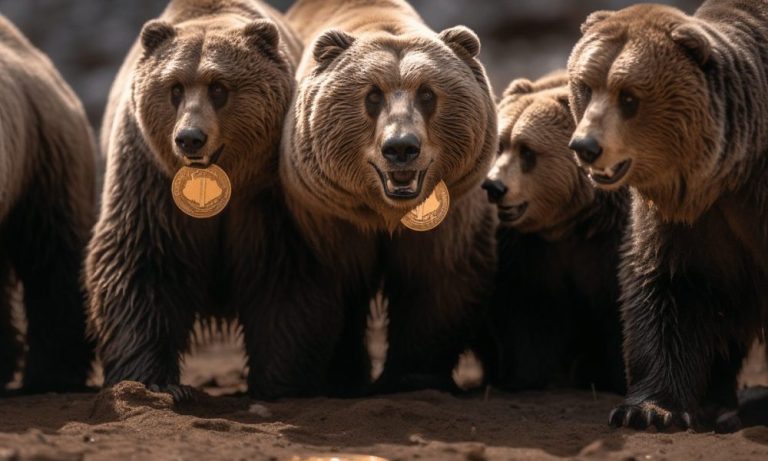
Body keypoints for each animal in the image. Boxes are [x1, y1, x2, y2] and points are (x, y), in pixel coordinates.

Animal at [86, 0, 351, 400]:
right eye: (175, 88)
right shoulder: (151, 181)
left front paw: (280, 381)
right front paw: (152, 381)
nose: (189, 138)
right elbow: (141, 264)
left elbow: (287, 271)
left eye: (219, 87)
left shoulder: (269, 197)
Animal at [281, 0, 498, 394]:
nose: (401, 147)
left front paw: (412, 376)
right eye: (372, 95)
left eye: (427, 94)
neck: (385, 211)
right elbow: (325, 284)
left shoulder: (450, 211)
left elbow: (438, 279)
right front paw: (340, 378)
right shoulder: (327, 214)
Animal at [481, 72, 628, 394]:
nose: (493, 186)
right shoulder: (530, 248)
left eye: (527, 151)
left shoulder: (612, 240)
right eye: (500, 146)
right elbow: (529, 307)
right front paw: (524, 376)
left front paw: (612, 376)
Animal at [567, 1, 768, 431]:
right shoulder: (690, 218)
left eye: (628, 97)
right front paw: (648, 410)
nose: (586, 146)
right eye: (586, 86)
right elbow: (667, 286)